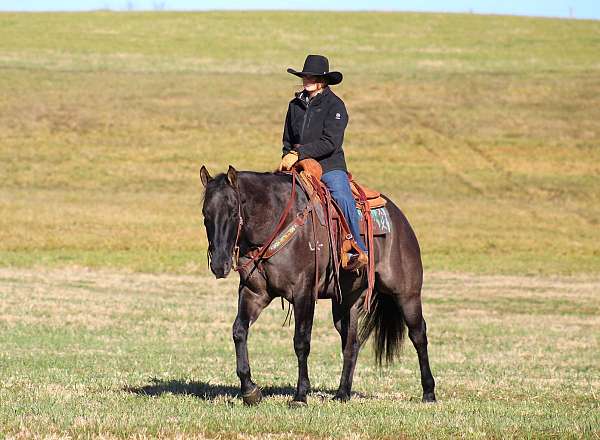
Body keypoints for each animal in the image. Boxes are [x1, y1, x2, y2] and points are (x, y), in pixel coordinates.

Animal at [199, 166, 434, 406]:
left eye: (233, 213)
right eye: (205, 214)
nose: (219, 264)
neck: (277, 222)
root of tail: (400, 220)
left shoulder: (304, 293)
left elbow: (301, 342)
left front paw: (300, 395)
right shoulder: (254, 293)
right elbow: (239, 331)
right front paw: (250, 390)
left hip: (407, 294)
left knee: (418, 335)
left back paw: (428, 393)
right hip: (347, 302)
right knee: (351, 343)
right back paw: (342, 393)